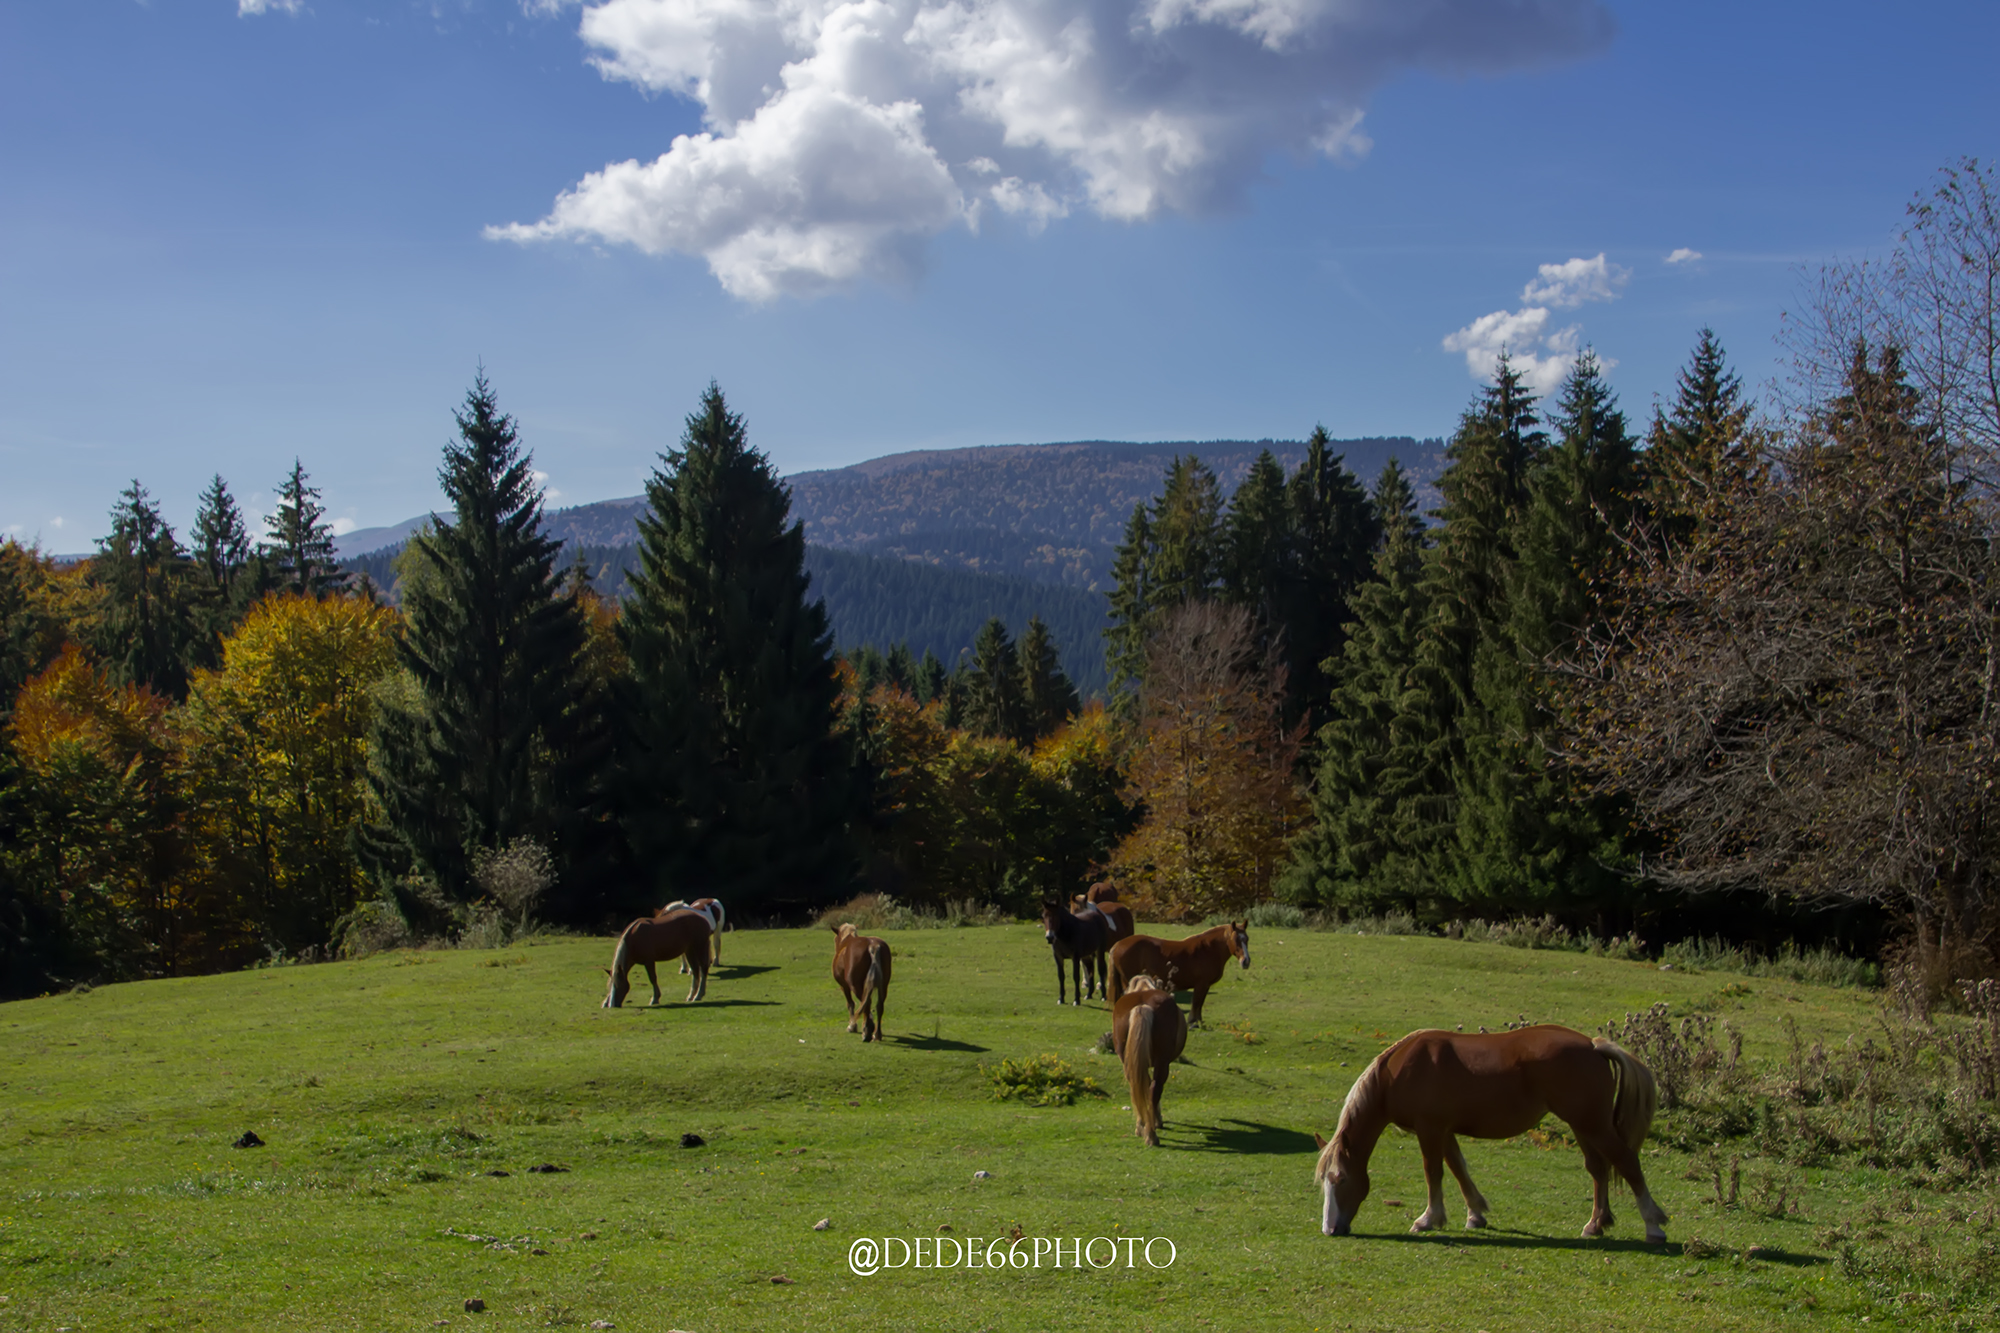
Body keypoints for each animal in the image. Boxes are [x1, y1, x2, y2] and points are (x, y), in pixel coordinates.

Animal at [1107, 922, 1249, 1025]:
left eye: (1247, 939)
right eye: (1236, 939)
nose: (1246, 961)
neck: (1208, 949)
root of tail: (1118, 945)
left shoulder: (1205, 985)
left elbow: (1200, 1004)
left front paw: (1199, 1021)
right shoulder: (1201, 984)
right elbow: (1196, 1003)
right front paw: (1193, 1022)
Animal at [1112, 972, 1188, 1146]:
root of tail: (1142, 1006)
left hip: (1130, 1063)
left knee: (1137, 1087)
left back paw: (1143, 1128)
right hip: (1162, 1063)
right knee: (1154, 1090)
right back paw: (1151, 1133)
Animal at [1312, 1025, 1669, 1243]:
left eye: (1340, 1179)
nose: (1329, 1229)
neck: (1399, 1072)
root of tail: (1594, 1047)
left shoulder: (1429, 1129)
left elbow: (1434, 1171)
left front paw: (1428, 1219)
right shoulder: (1445, 1130)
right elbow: (1457, 1168)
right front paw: (1475, 1214)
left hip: (1591, 1123)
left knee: (1626, 1161)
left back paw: (1653, 1224)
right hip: (1583, 1125)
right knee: (1598, 1168)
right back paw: (1596, 1223)